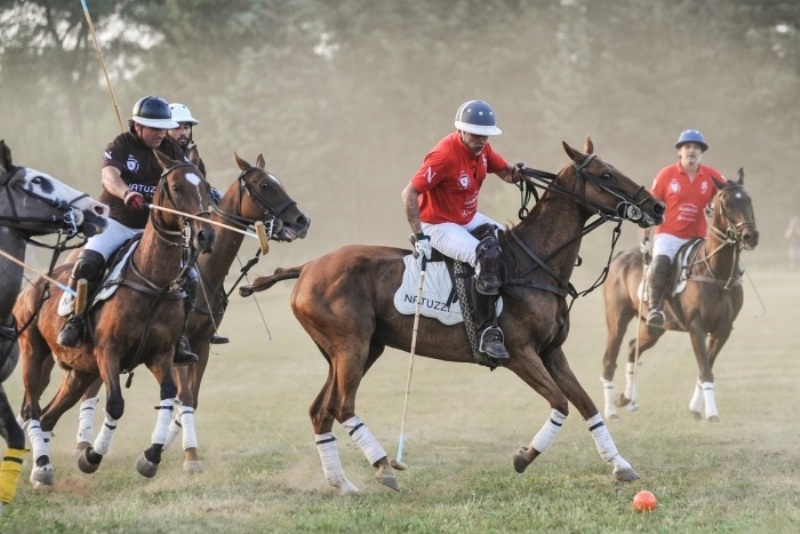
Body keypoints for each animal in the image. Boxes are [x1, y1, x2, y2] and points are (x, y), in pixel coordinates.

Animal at [14, 149, 216, 488]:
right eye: (176, 187)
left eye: (205, 185)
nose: (206, 235)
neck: (154, 282)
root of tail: (32, 285)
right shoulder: (108, 351)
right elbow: (115, 405)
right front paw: (91, 457)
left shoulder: (161, 354)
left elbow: (168, 396)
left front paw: (150, 458)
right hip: (33, 351)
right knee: (32, 408)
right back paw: (40, 467)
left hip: (80, 371)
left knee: (49, 415)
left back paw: (43, 468)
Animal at [241, 139, 664, 498]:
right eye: (605, 175)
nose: (657, 207)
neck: (535, 264)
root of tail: (307, 266)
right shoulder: (519, 355)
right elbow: (561, 404)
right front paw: (523, 456)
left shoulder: (552, 352)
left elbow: (588, 405)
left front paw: (620, 466)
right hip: (352, 347)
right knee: (343, 406)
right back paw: (384, 466)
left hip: (352, 350)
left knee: (321, 411)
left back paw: (342, 483)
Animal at [600, 170, 756, 420]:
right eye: (727, 204)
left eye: (749, 200)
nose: (751, 236)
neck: (717, 272)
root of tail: (619, 257)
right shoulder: (696, 327)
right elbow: (706, 369)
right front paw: (712, 413)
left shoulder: (723, 330)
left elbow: (705, 369)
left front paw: (696, 408)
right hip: (617, 319)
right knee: (609, 359)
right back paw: (611, 410)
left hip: (654, 327)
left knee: (634, 346)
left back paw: (626, 398)